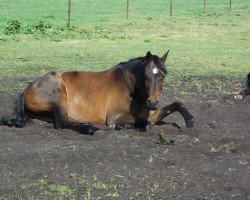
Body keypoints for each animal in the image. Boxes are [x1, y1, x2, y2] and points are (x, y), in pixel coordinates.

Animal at [0, 51, 195, 131]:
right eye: (146, 76)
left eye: (163, 75)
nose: (153, 102)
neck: (130, 88)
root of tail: (29, 86)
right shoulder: (114, 117)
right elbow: (143, 124)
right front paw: (123, 127)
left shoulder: (152, 114)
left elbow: (176, 104)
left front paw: (190, 121)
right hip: (58, 96)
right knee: (62, 123)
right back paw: (89, 129)